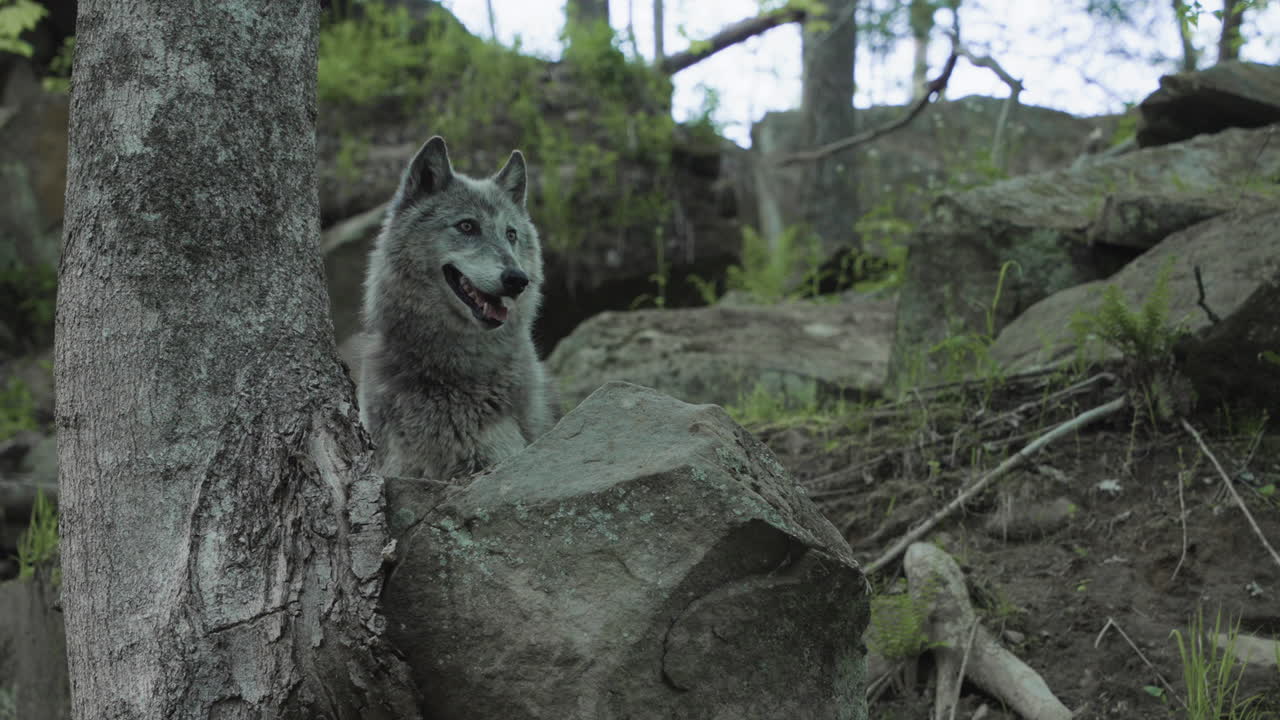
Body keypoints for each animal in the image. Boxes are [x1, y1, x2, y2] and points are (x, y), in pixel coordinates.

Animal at [358, 136, 556, 481]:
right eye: (467, 226)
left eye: (511, 234)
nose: (518, 279)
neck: (451, 371)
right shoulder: (399, 468)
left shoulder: (496, 458)